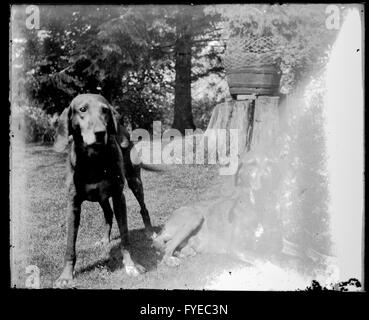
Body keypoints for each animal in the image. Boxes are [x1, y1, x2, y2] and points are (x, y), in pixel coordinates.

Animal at [53, 93, 154, 288]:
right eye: (82, 109)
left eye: (105, 110)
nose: (100, 133)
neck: (93, 160)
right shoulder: (73, 204)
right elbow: (70, 246)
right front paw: (66, 275)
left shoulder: (119, 196)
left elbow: (125, 237)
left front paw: (131, 266)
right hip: (101, 198)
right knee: (108, 214)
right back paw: (105, 240)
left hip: (134, 182)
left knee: (143, 207)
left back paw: (150, 232)